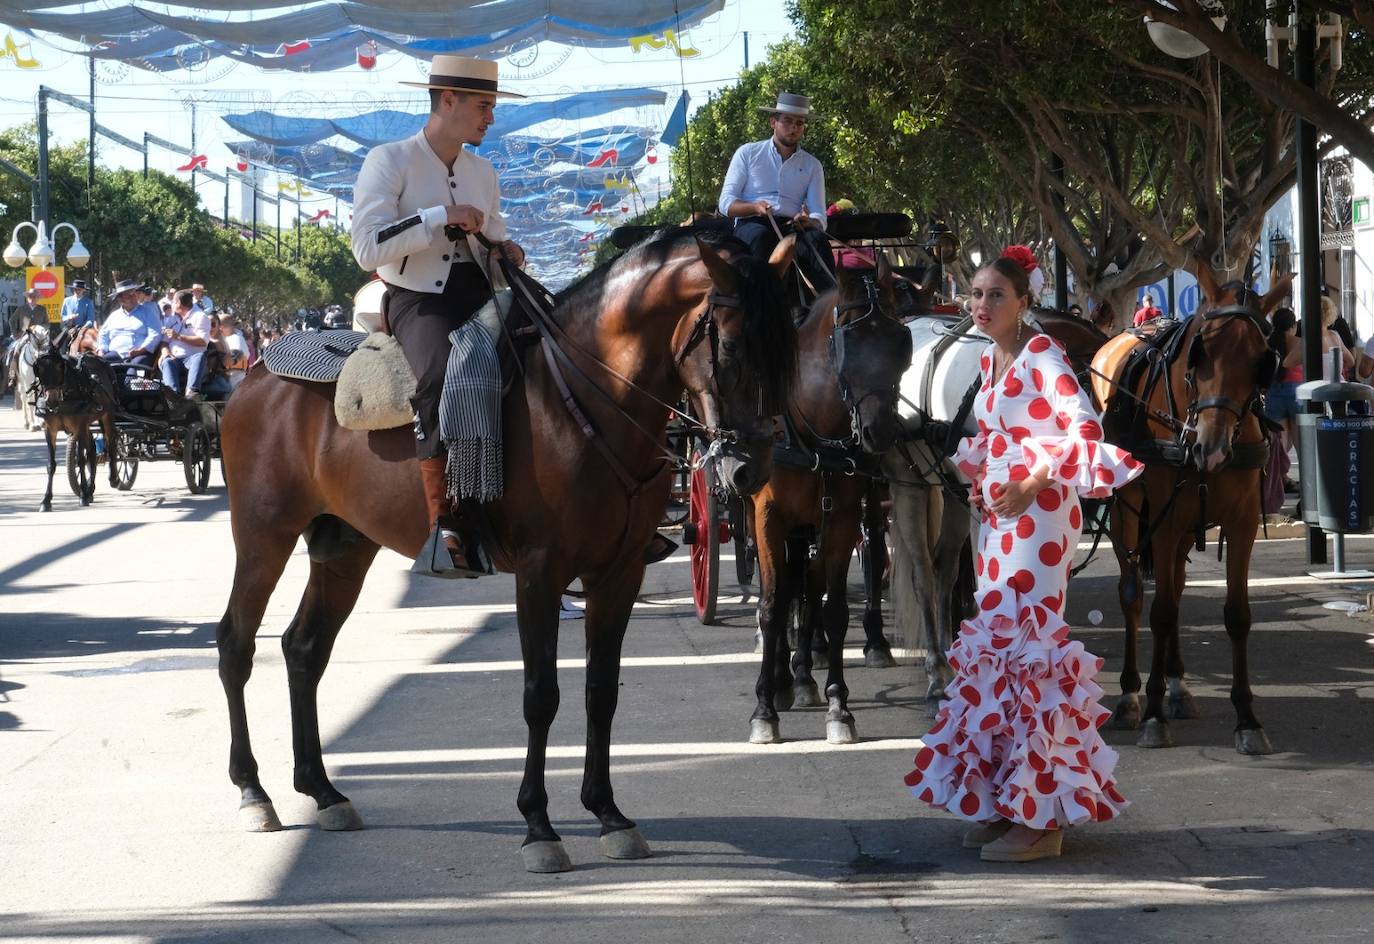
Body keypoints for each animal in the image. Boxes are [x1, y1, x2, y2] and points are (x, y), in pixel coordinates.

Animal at [212, 232, 796, 873]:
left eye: (787, 344)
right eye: (733, 346)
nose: (752, 468)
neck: (584, 402)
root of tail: (259, 377)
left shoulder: (616, 575)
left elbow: (601, 691)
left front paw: (608, 814)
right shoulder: (540, 574)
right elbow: (541, 694)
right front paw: (539, 826)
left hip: (343, 548)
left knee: (304, 648)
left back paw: (322, 791)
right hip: (263, 535)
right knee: (236, 643)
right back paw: (252, 792)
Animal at [741, 256, 912, 747]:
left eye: (901, 341)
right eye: (850, 343)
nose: (880, 432)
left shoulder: (842, 517)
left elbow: (830, 608)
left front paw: (839, 706)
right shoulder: (768, 515)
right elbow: (772, 605)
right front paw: (763, 709)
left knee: (807, 587)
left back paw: (800, 676)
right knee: (784, 593)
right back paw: (782, 681)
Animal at [1088, 262, 1291, 758]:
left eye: (1262, 360)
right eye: (1202, 351)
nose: (1211, 450)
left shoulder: (1240, 524)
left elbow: (1236, 614)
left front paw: (1246, 719)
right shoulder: (1162, 522)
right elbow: (1159, 612)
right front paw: (1152, 714)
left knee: (1176, 588)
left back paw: (1178, 686)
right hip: (1129, 512)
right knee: (1133, 594)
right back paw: (1130, 697)